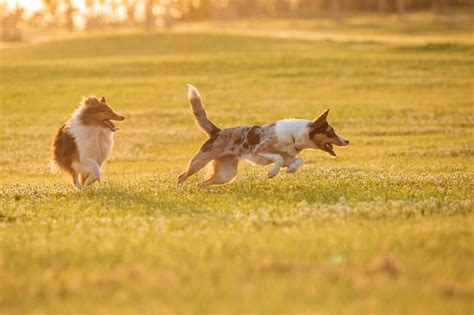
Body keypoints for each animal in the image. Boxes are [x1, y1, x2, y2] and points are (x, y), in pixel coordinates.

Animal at [178, 84, 348, 188]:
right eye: (330, 132)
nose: (347, 141)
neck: (295, 135)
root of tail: (217, 131)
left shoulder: (289, 156)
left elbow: (300, 160)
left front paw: (291, 170)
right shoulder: (260, 149)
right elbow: (278, 159)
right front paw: (272, 173)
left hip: (227, 174)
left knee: (202, 183)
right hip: (199, 161)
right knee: (181, 176)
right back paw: (181, 191)